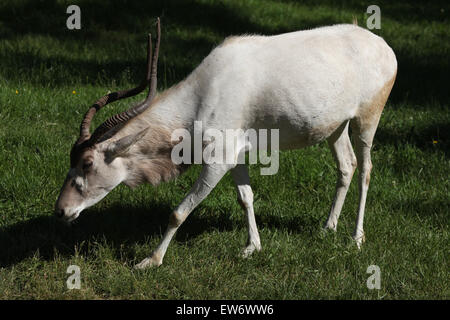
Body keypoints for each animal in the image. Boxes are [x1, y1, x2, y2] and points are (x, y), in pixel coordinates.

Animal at [55, 18, 398, 268]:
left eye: (87, 163)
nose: (61, 211)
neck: (205, 92)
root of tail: (381, 45)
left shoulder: (216, 162)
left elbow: (179, 212)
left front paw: (151, 260)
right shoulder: (235, 156)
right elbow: (246, 197)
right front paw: (252, 247)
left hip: (367, 120)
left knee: (365, 169)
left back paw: (356, 238)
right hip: (337, 127)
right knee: (347, 165)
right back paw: (328, 227)